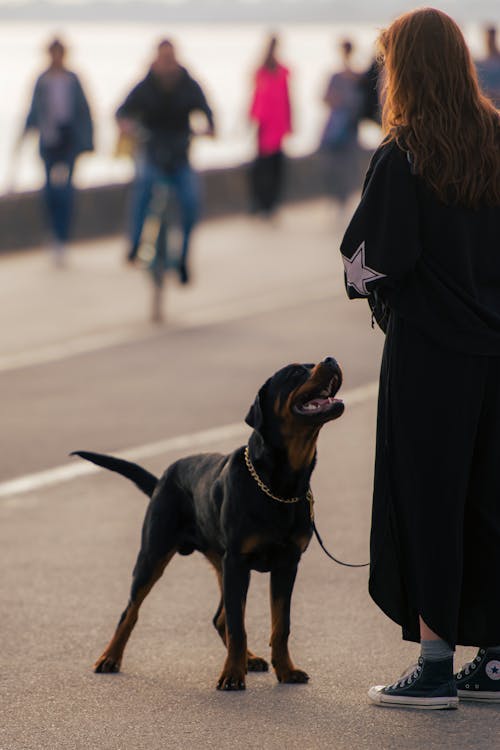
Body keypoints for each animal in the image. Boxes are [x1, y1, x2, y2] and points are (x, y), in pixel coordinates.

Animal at [74, 356, 344, 692]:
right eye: (296, 372)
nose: (331, 359)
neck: (281, 483)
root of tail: (162, 478)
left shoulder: (287, 563)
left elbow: (280, 625)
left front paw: (286, 670)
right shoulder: (238, 561)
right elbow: (239, 627)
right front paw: (232, 675)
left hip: (219, 561)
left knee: (221, 617)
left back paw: (250, 658)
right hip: (155, 552)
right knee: (131, 611)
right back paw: (110, 657)